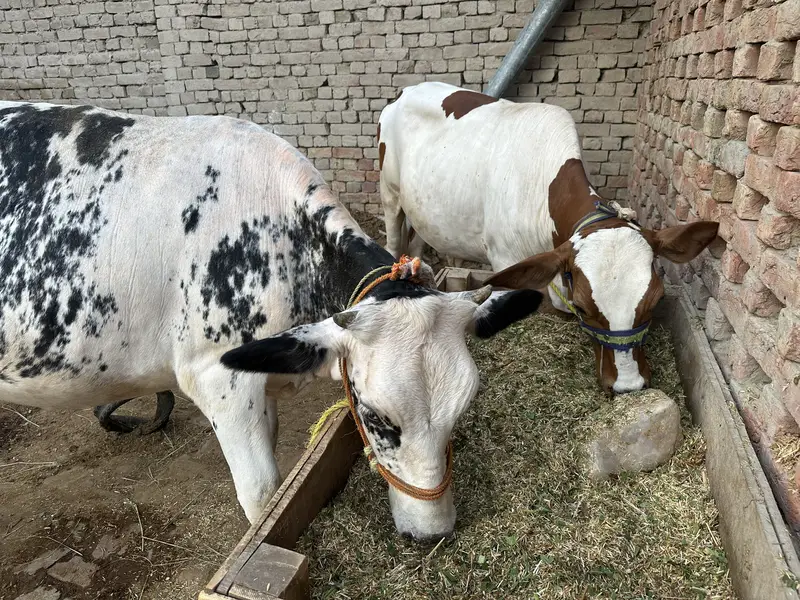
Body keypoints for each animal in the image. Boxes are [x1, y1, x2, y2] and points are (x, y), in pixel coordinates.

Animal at [378, 81, 719, 396]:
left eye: (656, 299)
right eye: (583, 307)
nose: (628, 385)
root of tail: (407, 90)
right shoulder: (506, 259)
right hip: (390, 195)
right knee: (393, 244)